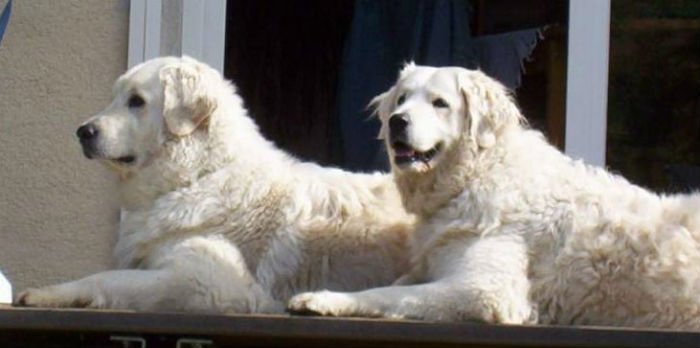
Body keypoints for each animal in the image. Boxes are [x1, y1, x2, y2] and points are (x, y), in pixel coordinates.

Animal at [15, 56, 416, 312]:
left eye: (136, 102)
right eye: (115, 98)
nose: (83, 132)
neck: (198, 174)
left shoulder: (207, 279)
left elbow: (109, 278)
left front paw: (50, 293)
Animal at [288, 64, 700, 328]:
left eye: (439, 103)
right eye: (403, 98)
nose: (396, 121)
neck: (477, 175)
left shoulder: (486, 289)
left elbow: (383, 295)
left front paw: (322, 299)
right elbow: (396, 286)